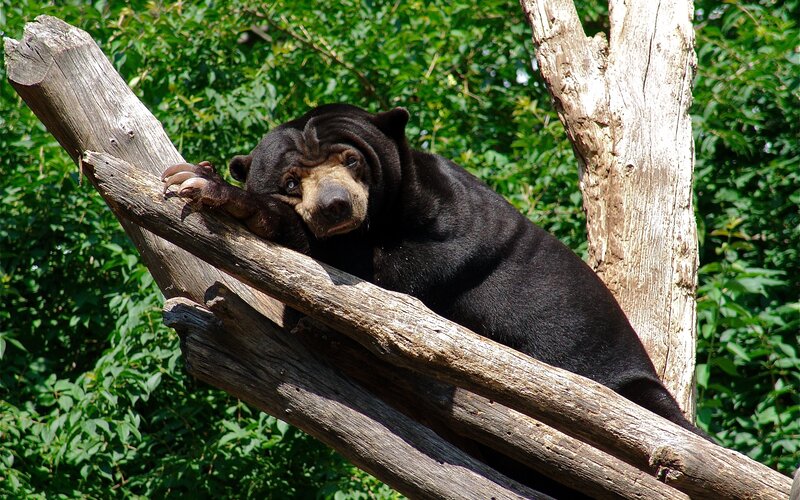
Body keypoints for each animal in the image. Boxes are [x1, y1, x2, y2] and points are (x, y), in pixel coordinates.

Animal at [162, 103, 703, 492]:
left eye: (353, 161)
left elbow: (385, 285)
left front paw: (213, 187)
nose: (336, 206)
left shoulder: (447, 235)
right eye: (292, 180)